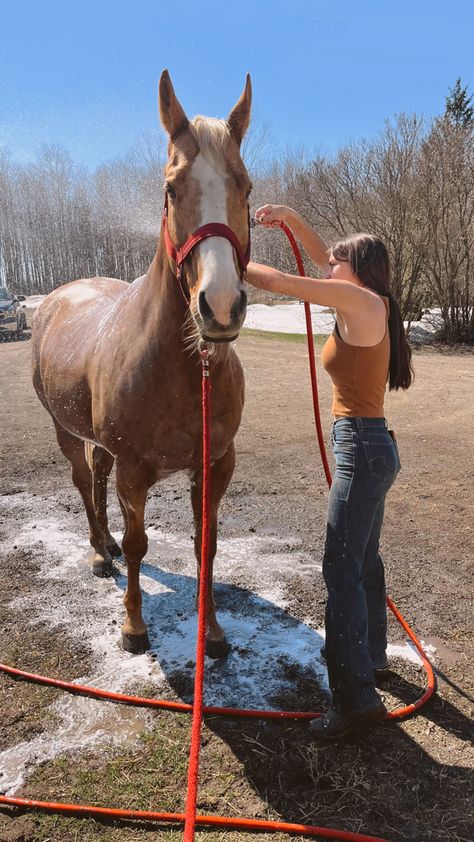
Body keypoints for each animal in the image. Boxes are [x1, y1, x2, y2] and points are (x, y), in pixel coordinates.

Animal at [31, 69, 254, 652]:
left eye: (245, 186)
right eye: (170, 189)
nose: (221, 305)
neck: (180, 372)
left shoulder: (215, 465)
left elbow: (206, 545)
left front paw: (212, 631)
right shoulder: (135, 472)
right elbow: (138, 546)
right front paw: (134, 626)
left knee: (95, 474)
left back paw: (103, 543)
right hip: (65, 429)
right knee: (83, 479)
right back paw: (98, 550)